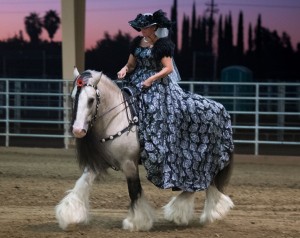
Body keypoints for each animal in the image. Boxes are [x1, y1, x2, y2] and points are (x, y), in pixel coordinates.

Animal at [55, 68, 234, 231]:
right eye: (73, 97)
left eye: (91, 100)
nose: (78, 130)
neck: (117, 118)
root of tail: (221, 108)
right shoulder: (99, 163)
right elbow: (82, 184)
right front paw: (69, 215)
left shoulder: (129, 164)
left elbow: (134, 190)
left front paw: (136, 222)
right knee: (205, 185)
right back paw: (197, 213)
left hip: (202, 163)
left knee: (203, 183)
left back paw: (194, 212)